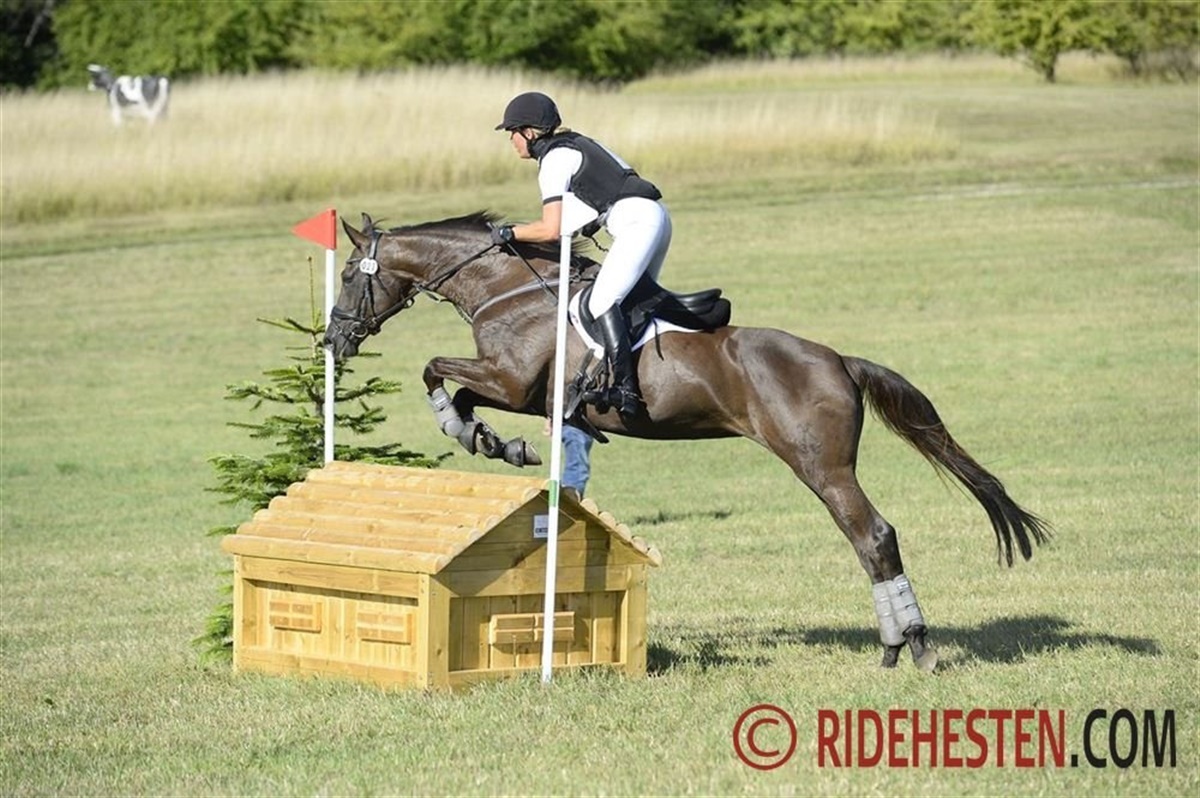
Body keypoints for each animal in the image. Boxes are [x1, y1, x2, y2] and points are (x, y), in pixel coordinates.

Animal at [325, 210, 1052, 671]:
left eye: (350, 275)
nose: (332, 339)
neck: (505, 291)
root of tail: (840, 360)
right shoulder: (518, 391)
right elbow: (460, 393)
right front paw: (495, 443)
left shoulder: (511, 379)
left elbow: (436, 372)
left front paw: (471, 432)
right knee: (871, 537)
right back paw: (899, 644)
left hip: (821, 466)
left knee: (872, 535)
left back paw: (913, 645)